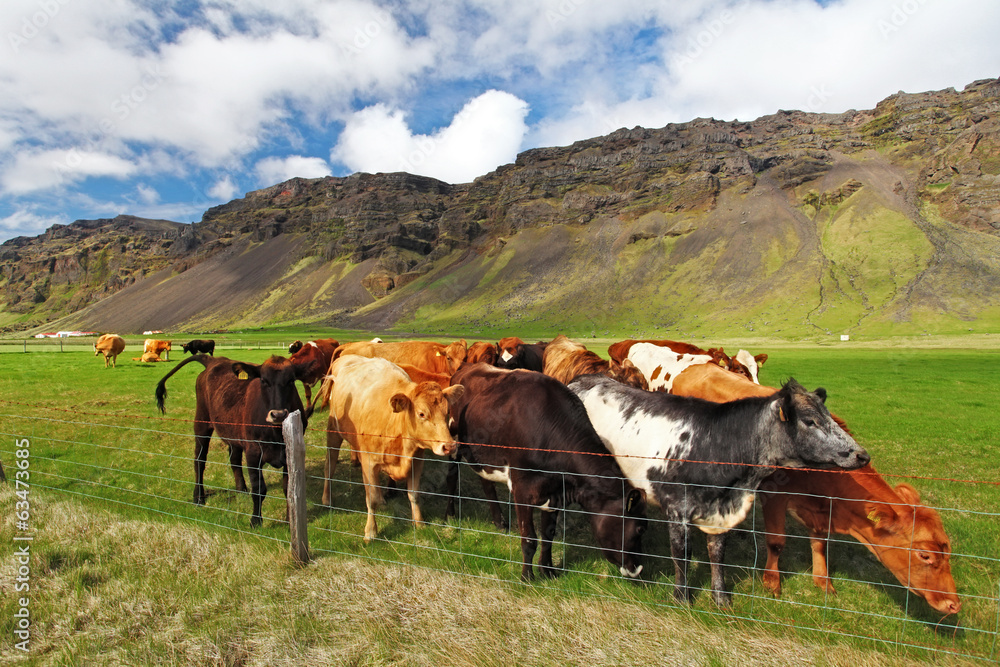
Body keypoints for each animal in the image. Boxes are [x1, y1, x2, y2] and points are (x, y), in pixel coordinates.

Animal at [316, 354, 464, 544]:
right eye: (422, 414)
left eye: (446, 412)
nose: (449, 446)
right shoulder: (369, 460)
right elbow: (370, 499)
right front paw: (371, 531)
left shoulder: (417, 460)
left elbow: (414, 493)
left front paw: (419, 522)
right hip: (333, 431)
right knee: (330, 466)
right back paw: (326, 499)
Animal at [448, 366, 648, 584]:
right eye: (640, 529)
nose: (638, 570)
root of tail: (466, 368)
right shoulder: (522, 489)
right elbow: (529, 539)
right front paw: (527, 577)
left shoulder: (554, 494)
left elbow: (548, 536)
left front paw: (548, 570)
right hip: (450, 442)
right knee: (452, 475)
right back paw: (449, 514)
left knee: (486, 482)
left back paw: (499, 522)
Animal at [572, 376, 868, 604]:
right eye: (809, 421)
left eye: (829, 417)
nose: (862, 455)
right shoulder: (677, 508)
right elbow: (681, 554)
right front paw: (682, 597)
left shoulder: (720, 512)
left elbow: (717, 553)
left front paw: (721, 597)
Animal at [672, 360, 960, 616]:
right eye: (924, 555)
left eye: (947, 551)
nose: (953, 604)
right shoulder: (775, 496)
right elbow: (776, 541)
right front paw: (772, 583)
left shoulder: (821, 509)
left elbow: (820, 543)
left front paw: (823, 582)